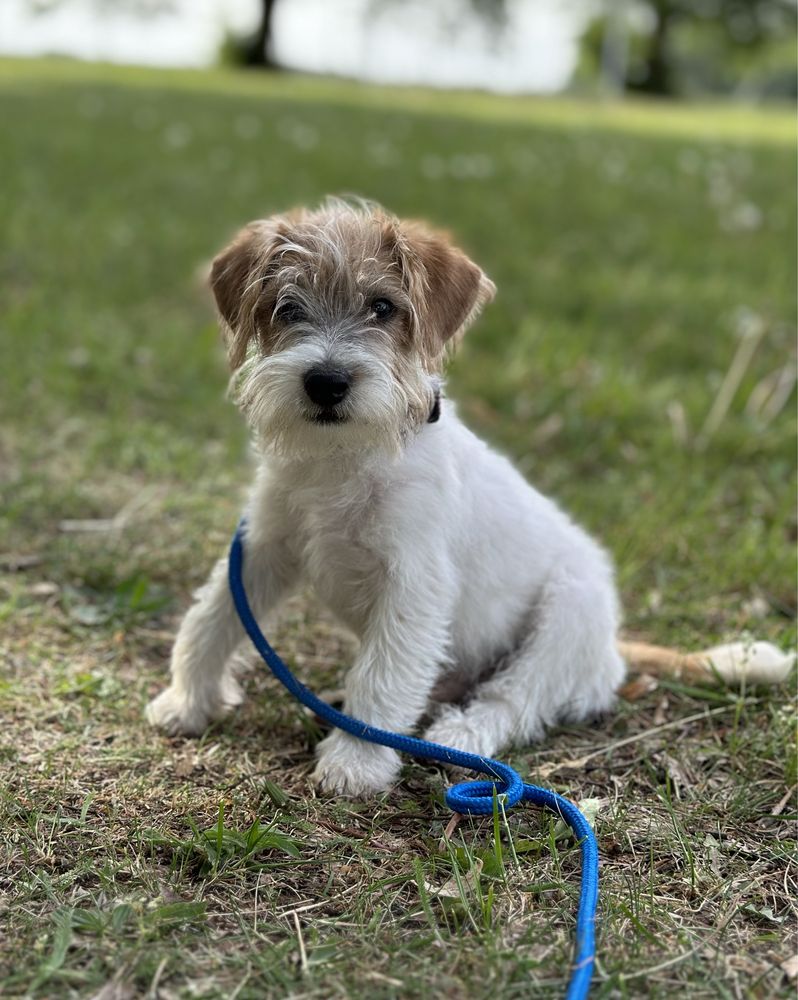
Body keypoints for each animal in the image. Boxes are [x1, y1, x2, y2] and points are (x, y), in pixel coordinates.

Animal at [148, 197, 792, 796]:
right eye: (287, 307)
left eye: (383, 307)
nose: (326, 383)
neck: (345, 459)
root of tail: (612, 645)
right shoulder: (263, 550)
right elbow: (210, 618)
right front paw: (187, 701)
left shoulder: (413, 585)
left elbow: (382, 677)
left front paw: (356, 761)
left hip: (565, 615)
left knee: (515, 698)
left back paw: (461, 735)